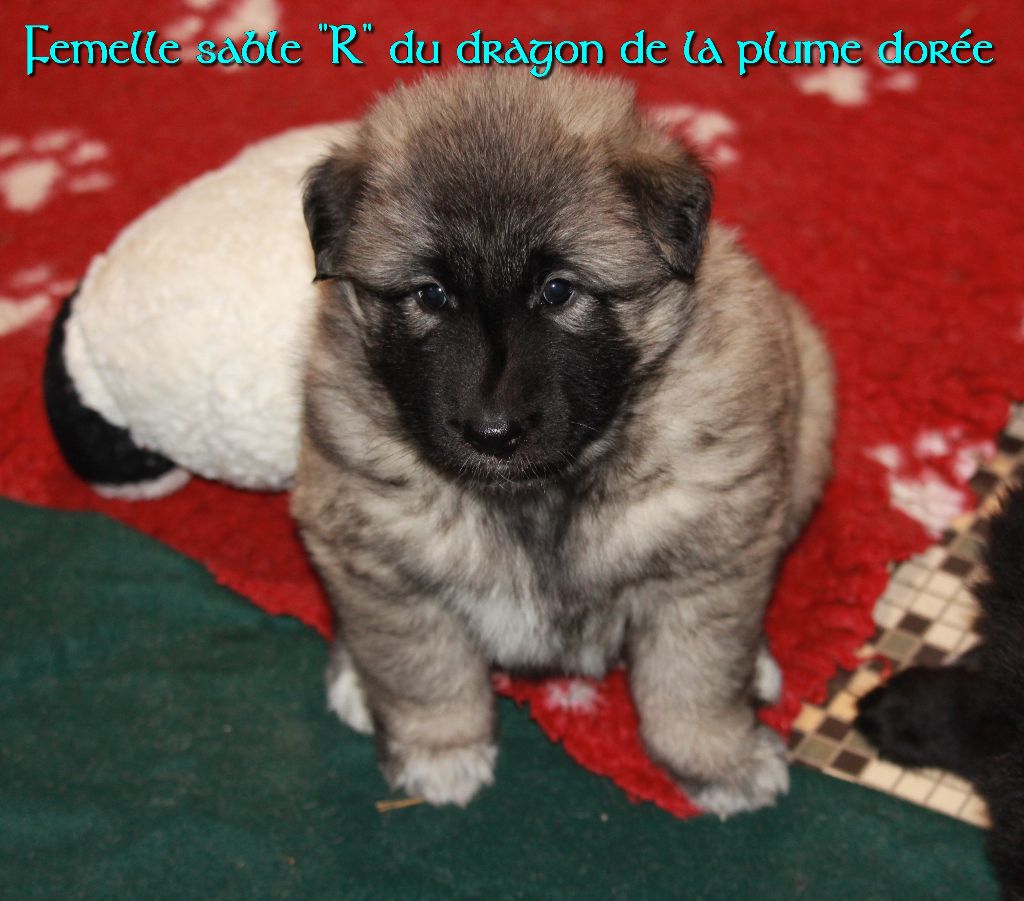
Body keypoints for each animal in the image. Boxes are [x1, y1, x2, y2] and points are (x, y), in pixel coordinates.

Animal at [291, 71, 835, 816]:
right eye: (430, 294)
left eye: (558, 291)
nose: (491, 433)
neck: (543, 491)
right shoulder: (382, 560)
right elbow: (424, 670)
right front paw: (441, 749)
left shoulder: (709, 560)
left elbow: (694, 679)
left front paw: (717, 758)